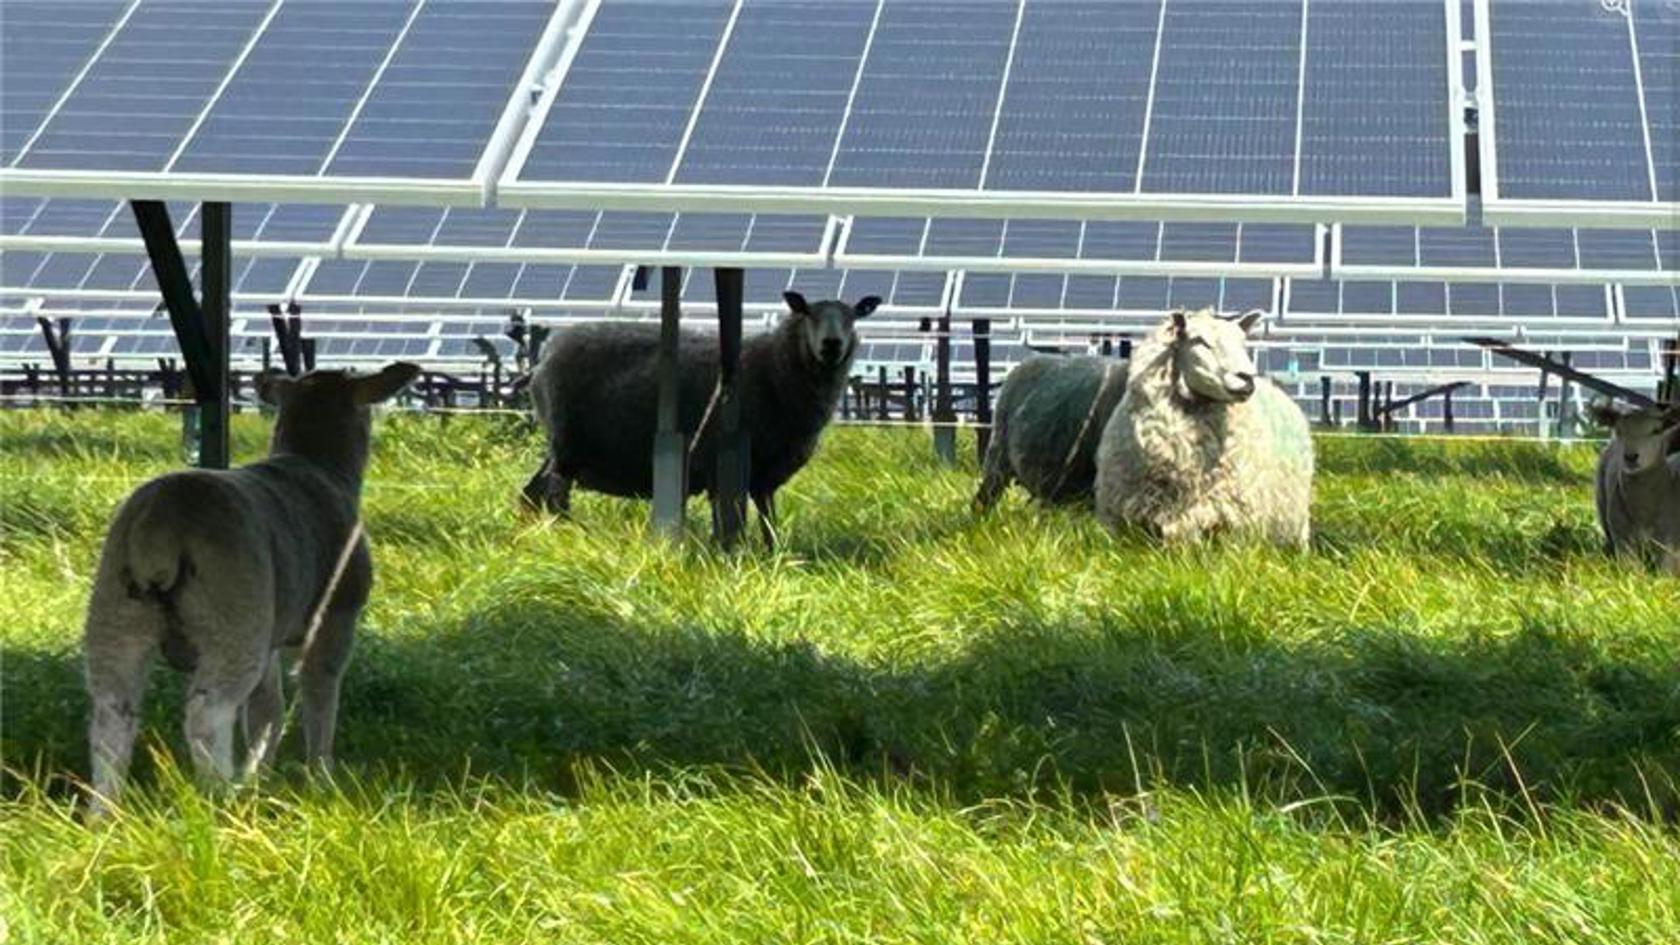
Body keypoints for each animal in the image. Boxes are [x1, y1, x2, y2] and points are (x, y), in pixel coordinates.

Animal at [83, 362, 419, 814]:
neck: (319, 464)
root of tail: (163, 525)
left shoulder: (271, 630)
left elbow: (266, 710)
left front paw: (259, 775)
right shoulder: (336, 617)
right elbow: (319, 692)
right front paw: (320, 776)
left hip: (116, 612)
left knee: (111, 714)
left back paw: (105, 813)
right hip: (233, 619)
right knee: (208, 713)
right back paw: (218, 799)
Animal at [521, 291, 880, 545]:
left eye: (852, 318)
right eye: (808, 314)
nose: (831, 344)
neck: (777, 369)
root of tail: (544, 358)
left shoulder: (764, 476)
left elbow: (769, 523)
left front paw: (773, 556)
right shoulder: (719, 460)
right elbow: (725, 519)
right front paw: (725, 553)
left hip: (561, 449)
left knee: (530, 494)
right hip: (568, 446)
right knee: (554, 497)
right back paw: (569, 535)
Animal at [1587, 400, 1680, 573]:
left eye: (1656, 431)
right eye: (1619, 430)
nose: (1631, 457)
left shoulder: (1669, 539)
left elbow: (1665, 572)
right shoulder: (1623, 537)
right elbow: (1631, 571)